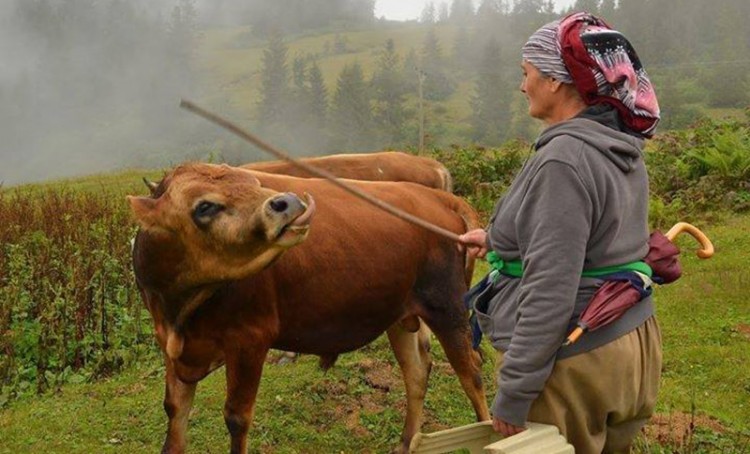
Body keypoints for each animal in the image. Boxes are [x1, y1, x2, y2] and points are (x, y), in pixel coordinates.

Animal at [129, 164, 490, 454]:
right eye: (204, 206)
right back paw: (406, 442)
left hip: (448, 308)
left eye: (256, 184)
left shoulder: (249, 340)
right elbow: (174, 413)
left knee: (472, 374)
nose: (287, 202)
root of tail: (436, 197)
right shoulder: (172, 347)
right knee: (416, 372)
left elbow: (236, 418)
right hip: (400, 315)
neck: (181, 313)